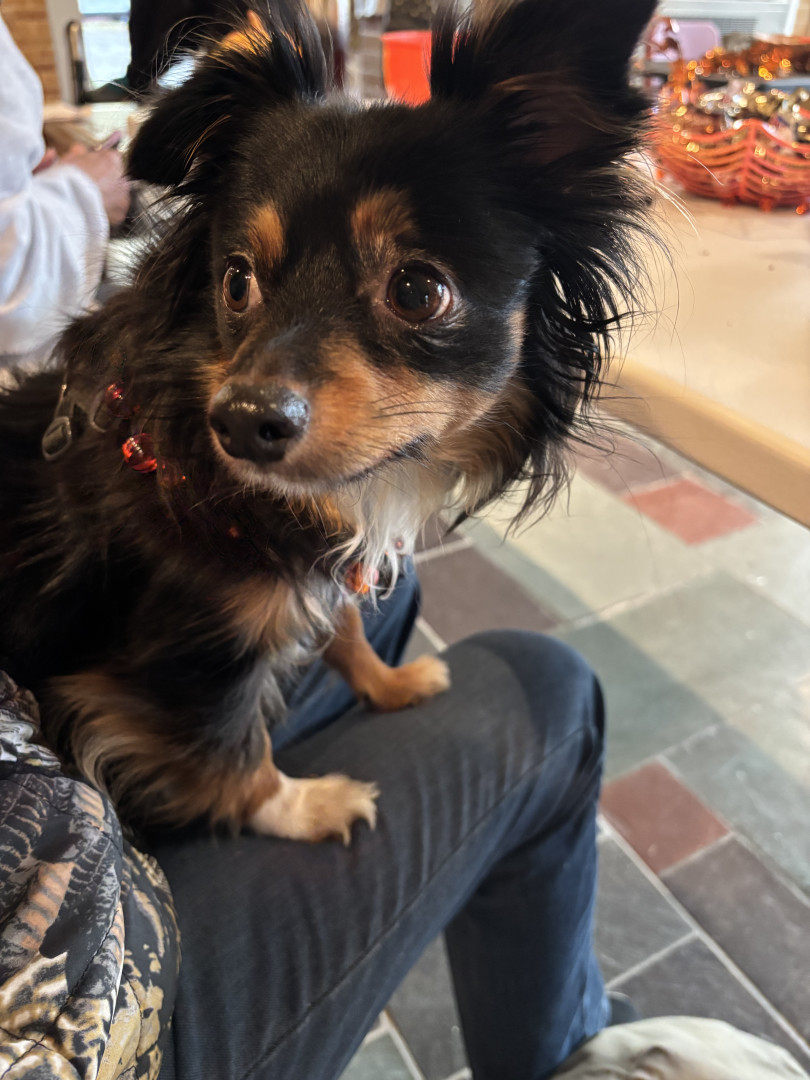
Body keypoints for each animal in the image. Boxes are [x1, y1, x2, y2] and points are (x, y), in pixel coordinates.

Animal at [0, 0, 655, 843]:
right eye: (236, 280)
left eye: (418, 291)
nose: (241, 422)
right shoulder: (178, 664)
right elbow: (231, 753)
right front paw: (312, 806)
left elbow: (343, 623)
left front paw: (390, 681)